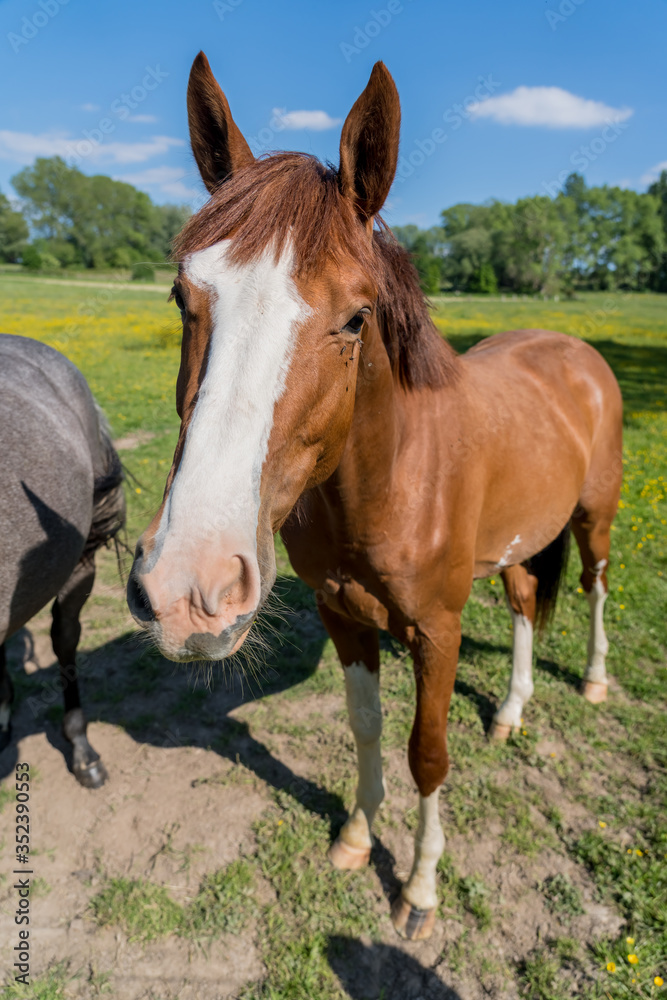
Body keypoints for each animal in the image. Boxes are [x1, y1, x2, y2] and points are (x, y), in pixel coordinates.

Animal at [128, 54, 624, 940]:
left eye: (356, 317)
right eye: (183, 298)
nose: (190, 589)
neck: (391, 478)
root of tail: (572, 350)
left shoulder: (436, 631)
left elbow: (426, 752)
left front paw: (419, 890)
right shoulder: (343, 615)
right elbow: (364, 729)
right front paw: (357, 839)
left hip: (592, 518)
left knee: (595, 586)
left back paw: (594, 682)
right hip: (519, 541)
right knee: (525, 602)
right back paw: (510, 711)